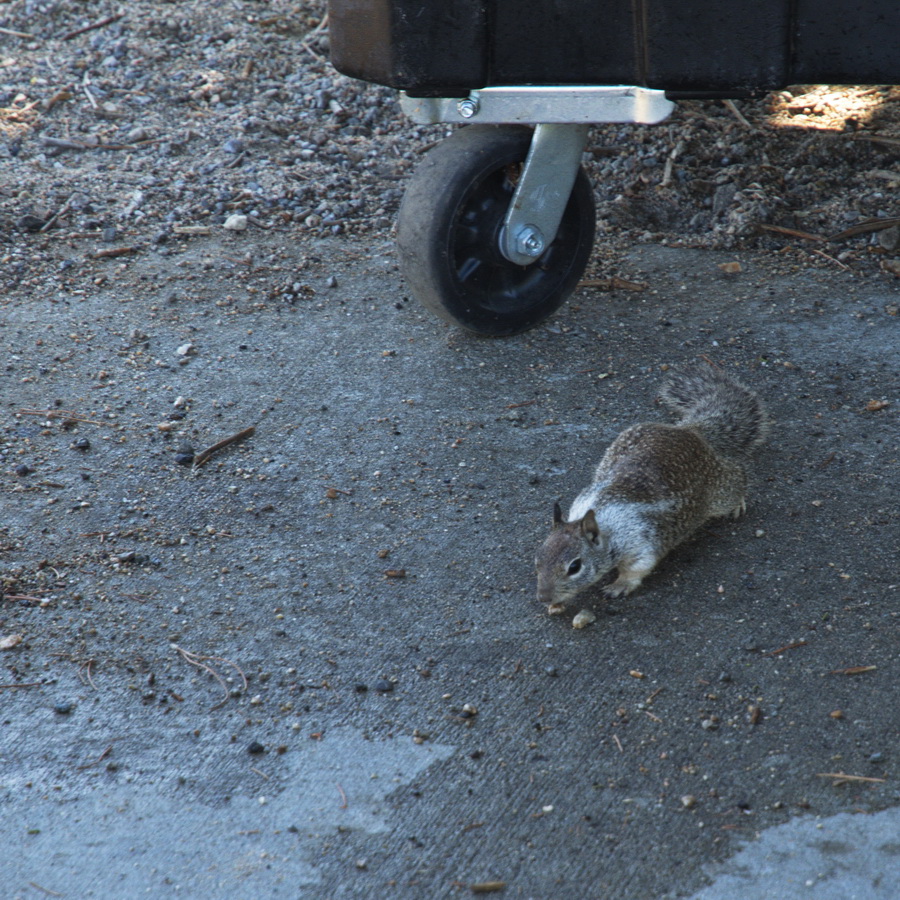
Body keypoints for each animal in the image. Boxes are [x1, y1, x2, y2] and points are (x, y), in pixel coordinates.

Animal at [536, 366, 768, 612]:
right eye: (538, 559)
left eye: (574, 567)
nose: (543, 597)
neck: (605, 524)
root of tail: (690, 431)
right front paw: (558, 604)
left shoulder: (641, 541)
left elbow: (637, 569)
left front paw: (619, 585)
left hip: (720, 488)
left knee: (738, 477)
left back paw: (738, 503)